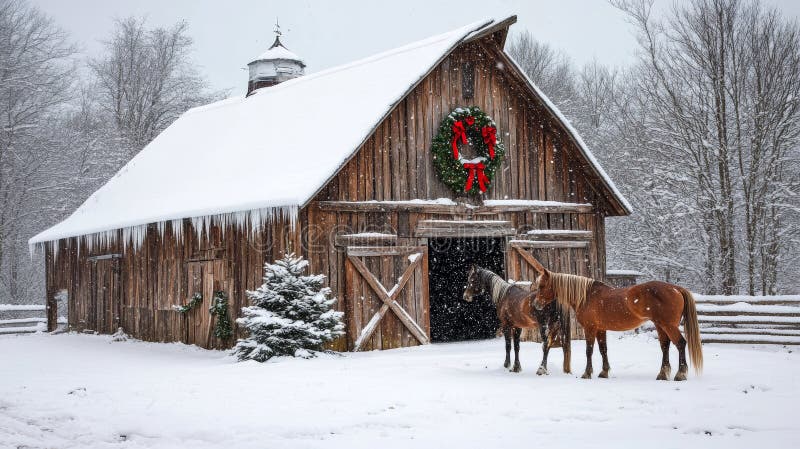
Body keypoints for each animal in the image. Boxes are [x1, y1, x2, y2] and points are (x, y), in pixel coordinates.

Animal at [528, 258, 704, 380]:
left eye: (542, 286)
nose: (536, 304)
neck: (586, 296)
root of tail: (676, 288)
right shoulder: (601, 329)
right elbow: (603, 350)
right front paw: (604, 372)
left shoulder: (590, 328)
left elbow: (589, 350)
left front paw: (587, 373)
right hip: (660, 325)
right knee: (665, 346)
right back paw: (662, 374)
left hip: (669, 325)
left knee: (680, 343)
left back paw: (680, 374)